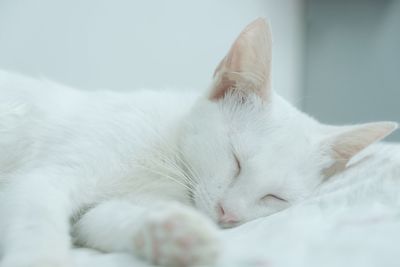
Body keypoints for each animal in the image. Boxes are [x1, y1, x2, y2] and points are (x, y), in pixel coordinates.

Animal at [0, 18, 396, 267]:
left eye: (274, 198)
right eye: (236, 161)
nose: (228, 214)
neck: (166, 154)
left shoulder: (111, 206)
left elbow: (103, 219)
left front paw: (179, 235)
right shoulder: (43, 178)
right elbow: (38, 220)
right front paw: (39, 258)